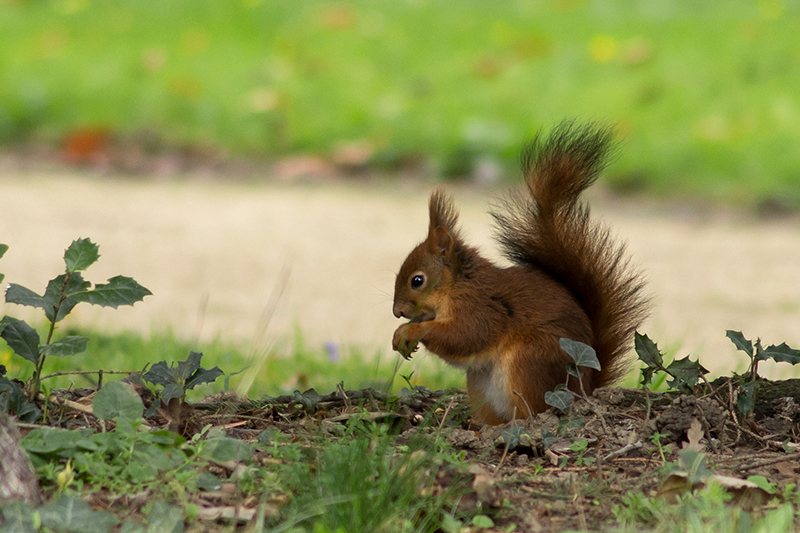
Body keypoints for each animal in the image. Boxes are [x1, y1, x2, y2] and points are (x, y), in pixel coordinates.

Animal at [392, 120, 648, 424]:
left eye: (417, 281)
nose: (397, 312)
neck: (457, 284)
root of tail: (583, 391)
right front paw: (401, 334)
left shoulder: (480, 307)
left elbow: (465, 336)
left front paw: (410, 331)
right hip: (480, 385)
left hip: (529, 362)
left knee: (535, 410)